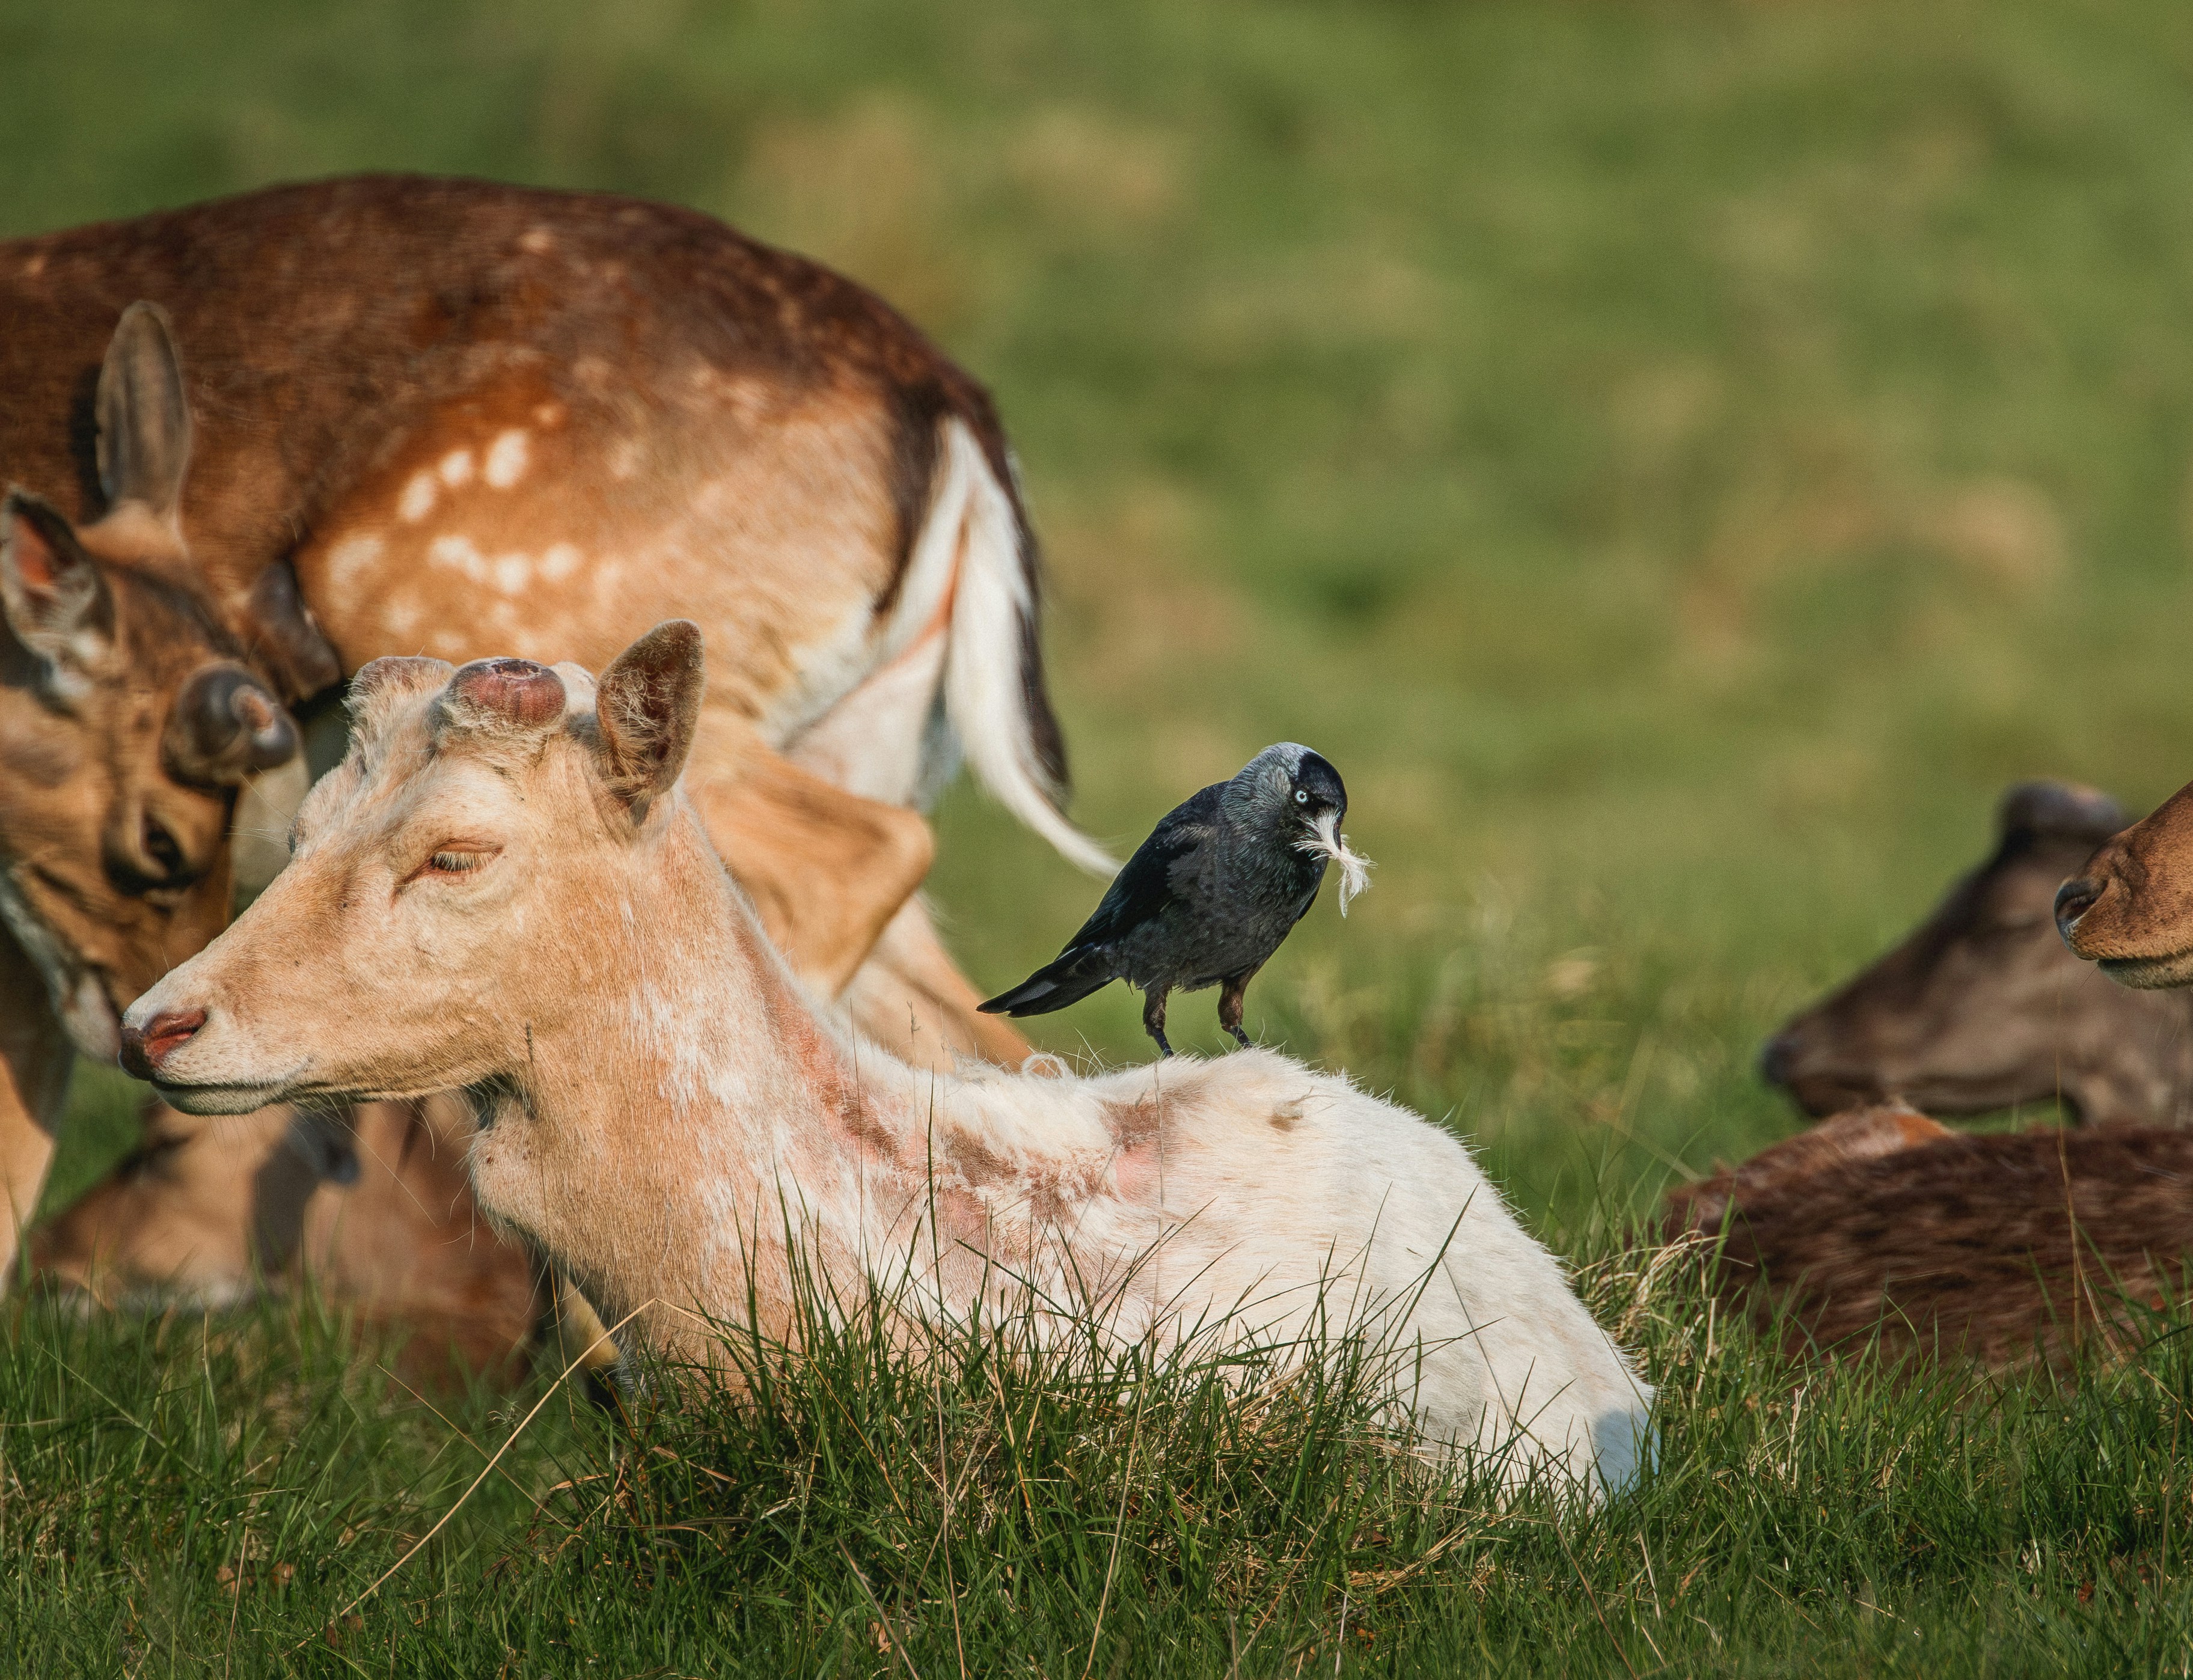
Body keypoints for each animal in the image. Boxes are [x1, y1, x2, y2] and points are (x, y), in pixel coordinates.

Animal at [1, 174, 1107, 1281]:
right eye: (295, 834)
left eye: (162, 840)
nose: (144, 1028)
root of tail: (954, 414)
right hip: (864, 732)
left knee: (861, 868)